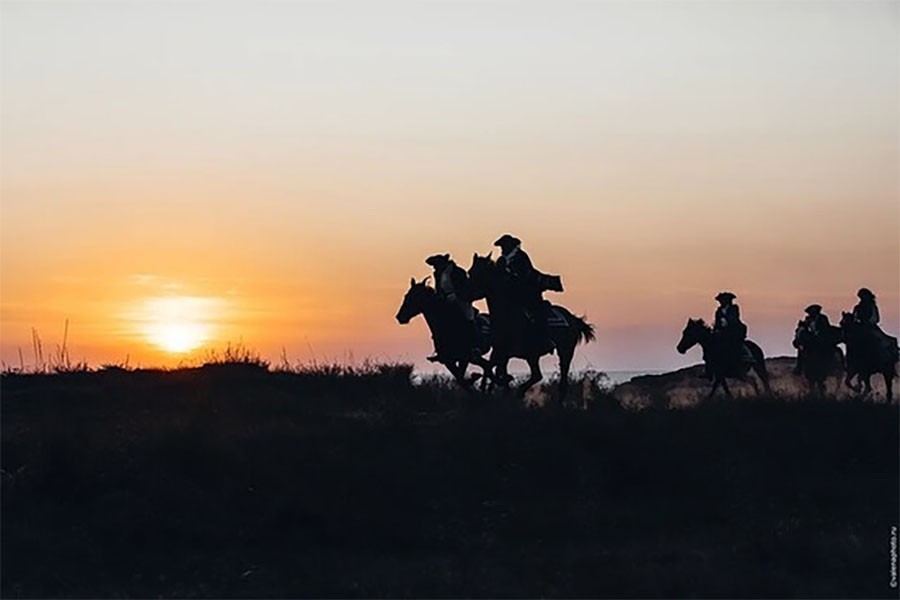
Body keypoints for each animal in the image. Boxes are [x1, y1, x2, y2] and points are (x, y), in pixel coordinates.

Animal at [464, 253, 596, 404]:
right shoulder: (500, 352)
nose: (463, 292)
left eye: (478, 274)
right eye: (470, 272)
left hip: (565, 351)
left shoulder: (517, 353)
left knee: (561, 381)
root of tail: (572, 318)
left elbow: (495, 369)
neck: (506, 316)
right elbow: (490, 368)